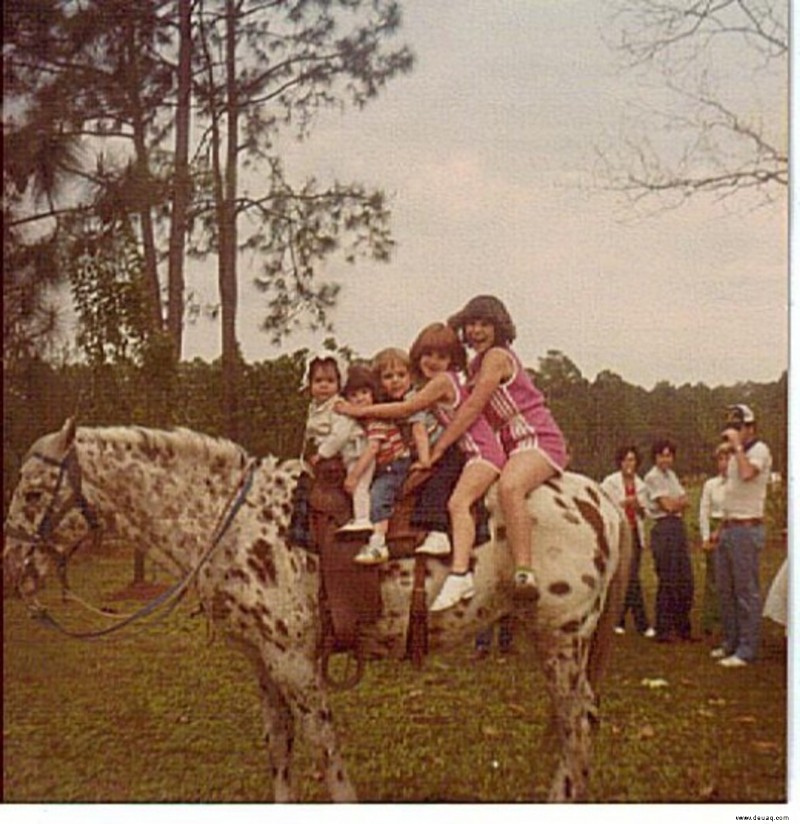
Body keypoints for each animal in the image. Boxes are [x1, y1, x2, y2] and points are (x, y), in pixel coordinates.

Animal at [4, 422, 632, 800]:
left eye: (33, 492)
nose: (11, 566)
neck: (236, 522)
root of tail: (603, 500)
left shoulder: (295, 663)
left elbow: (323, 746)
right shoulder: (264, 663)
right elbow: (279, 744)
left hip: (562, 638)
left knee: (579, 723)